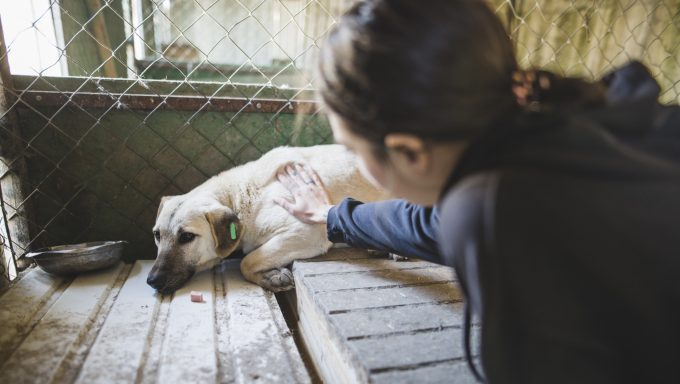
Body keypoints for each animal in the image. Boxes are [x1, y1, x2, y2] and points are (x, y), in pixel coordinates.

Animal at [147, 146, 386, 292]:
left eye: (187, 237)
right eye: (157, 235)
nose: (152, 280)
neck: (241, 195)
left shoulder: (306, 232)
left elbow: (246, 261)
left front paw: (270, 277)